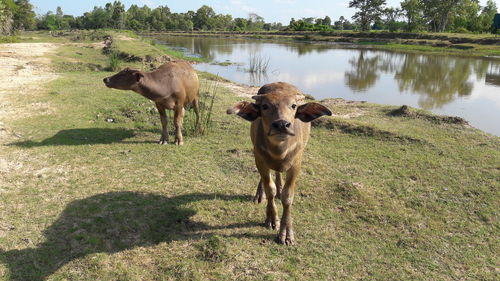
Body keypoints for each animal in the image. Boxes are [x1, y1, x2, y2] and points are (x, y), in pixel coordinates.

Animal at [228, 81, 332, 243]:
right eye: (265, 106)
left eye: (293, 105)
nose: (282, 124)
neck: (279, 151)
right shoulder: (259, 159)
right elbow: (269, 189)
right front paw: (271, 219)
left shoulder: (296, 164)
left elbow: (287, 196)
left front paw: (286, 232)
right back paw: (259, 195)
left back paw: (279, 185)